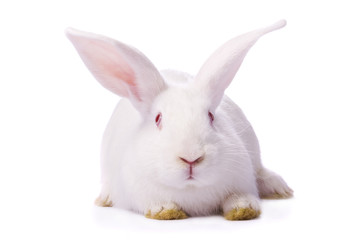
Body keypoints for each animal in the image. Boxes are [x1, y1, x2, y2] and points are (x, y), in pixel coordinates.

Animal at [67, 19, 292, 220]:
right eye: (158, 119)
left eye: (211, 116)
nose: (191, 158)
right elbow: (155, 202)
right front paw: (165, 211)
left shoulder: (241, 179)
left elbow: (239, 197)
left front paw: (243, 209)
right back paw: (104, 199)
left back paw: (278, 188)